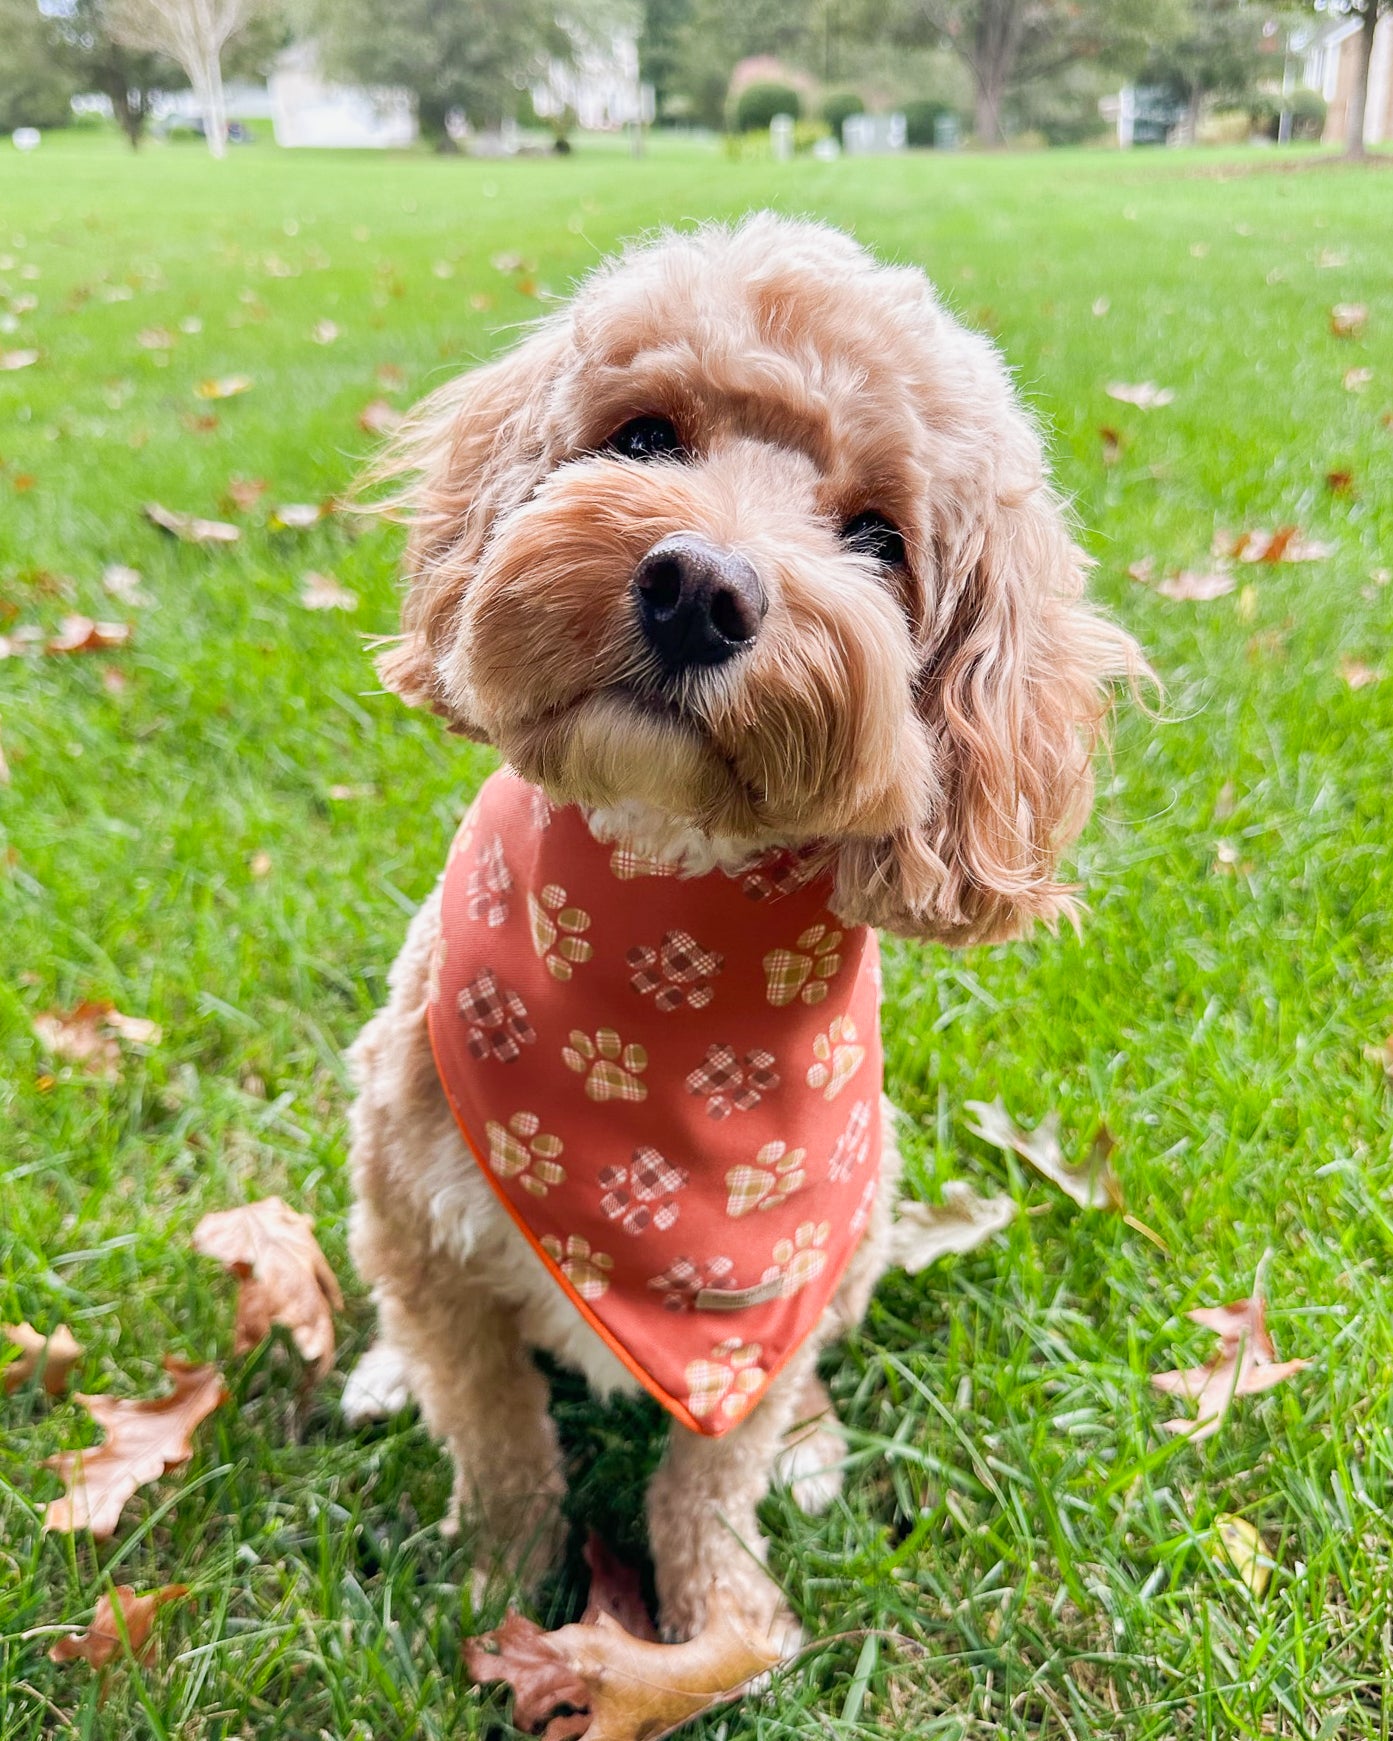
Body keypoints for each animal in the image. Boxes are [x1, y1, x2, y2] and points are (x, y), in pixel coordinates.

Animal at [339, 210, 1142, 1650]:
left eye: (877, 536)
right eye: (646, 435)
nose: (698, 587)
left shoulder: (759, 1308)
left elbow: (708, 1476)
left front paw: (725, 1621)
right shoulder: (428, 1240)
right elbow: (499, 1437)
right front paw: (494, 1587)